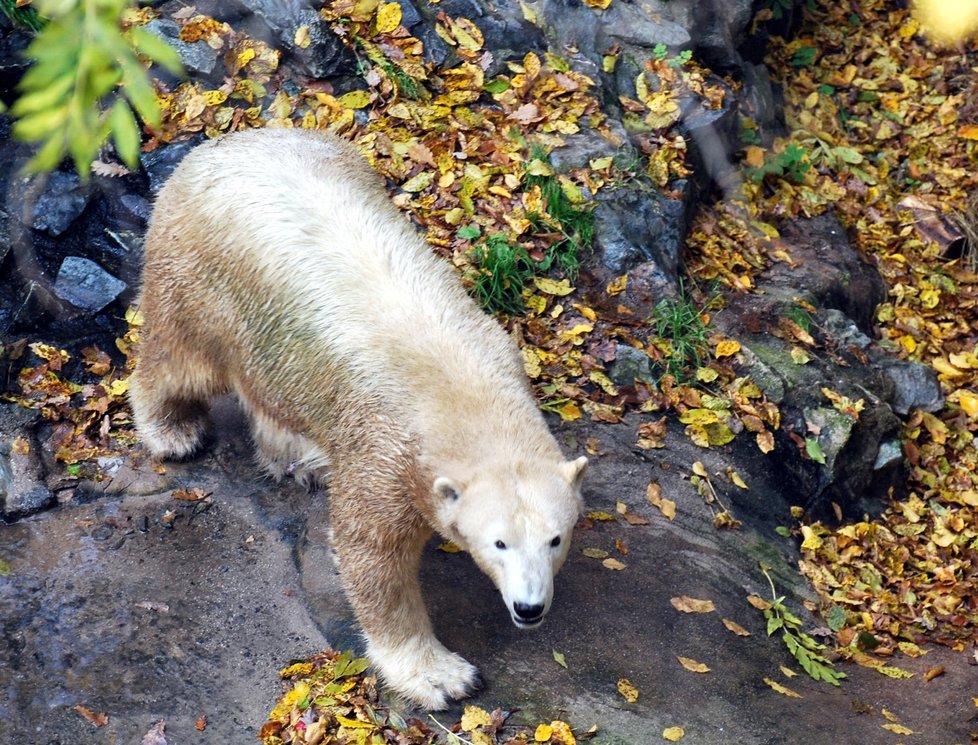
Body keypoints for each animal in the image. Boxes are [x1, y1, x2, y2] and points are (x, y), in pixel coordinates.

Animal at [129, 128, 588, 708]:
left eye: (556, 538)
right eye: (498, 542)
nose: (529, 608)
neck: (465, 388)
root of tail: (218, 146)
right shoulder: (386, 453)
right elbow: (372, 555)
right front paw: (441, 676)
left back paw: (296, 457)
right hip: (198, 277)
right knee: (179, 361)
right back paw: (173, 430)